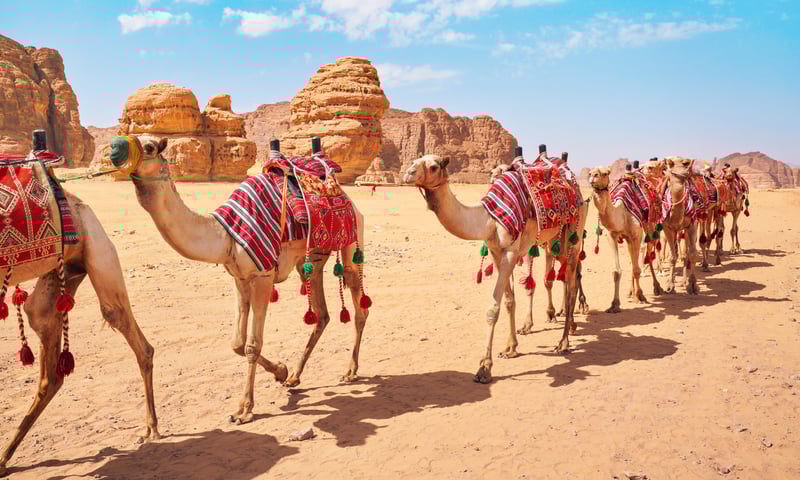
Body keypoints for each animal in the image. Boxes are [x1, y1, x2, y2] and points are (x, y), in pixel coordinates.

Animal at [1, 134, 158, 477]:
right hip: (56, 283)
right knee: (51, 371)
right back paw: (5, 457)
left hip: (100, 255)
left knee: (137, 340)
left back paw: (151, 428)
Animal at [109, 134, 369, 425]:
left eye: (150, 147)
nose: (115, 148)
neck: (225, 235)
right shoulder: (239, 278)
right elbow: (237, 343)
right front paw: (281, 370)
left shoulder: (263, 276)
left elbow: (252, 345)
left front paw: (244, 409)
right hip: (310, 260)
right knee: (322, 315)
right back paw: (294, 376)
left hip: (351, 242)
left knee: (359, 306)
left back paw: (350, 371)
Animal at [404, 153, 587, 384]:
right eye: (415, 161)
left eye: (434, 166)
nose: (408, 174)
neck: (489, 219)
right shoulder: (496, 252)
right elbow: (509, 301)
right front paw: (510, 348)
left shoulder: (510, 251)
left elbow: (493, 308)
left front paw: (484, 367)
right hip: (555, 239)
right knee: (568, 276)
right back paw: (569, 326)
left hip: (575, 230)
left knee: (571, 284)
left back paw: (563, 342)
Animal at [587, 166, 662, 313]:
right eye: (590, 172)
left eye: (605, 173)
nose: (593, 176)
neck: (621, 213)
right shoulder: (612, 235)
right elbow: (617, 271)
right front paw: (614, 304)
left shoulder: (637, 235)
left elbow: (637, 269)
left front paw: (641, 296)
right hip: (628, 240)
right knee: (632, 259)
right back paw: (630, 292)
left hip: (649, 229)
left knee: (648, 255)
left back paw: (657, 287)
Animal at [661, 156, 700, 295]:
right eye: (685, 163)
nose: (697, 172)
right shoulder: (667, 228)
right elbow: (672, 257)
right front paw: (669, 286)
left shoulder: (692, 225)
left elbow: (692, 255)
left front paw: (692, 285)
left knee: (684, 254)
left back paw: (683, 281)